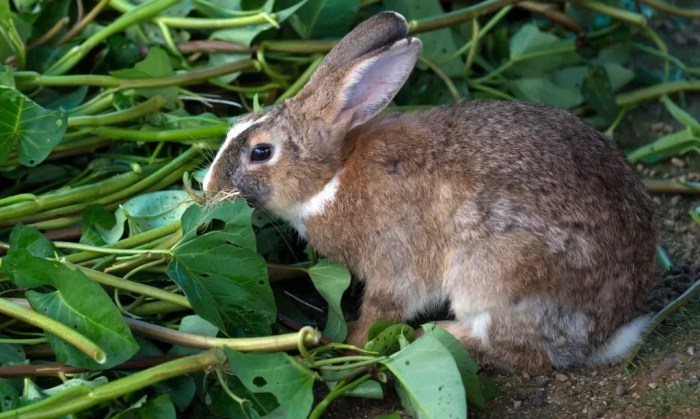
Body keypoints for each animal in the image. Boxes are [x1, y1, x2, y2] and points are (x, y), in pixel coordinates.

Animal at [202, 10, 656, 374]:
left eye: (261, 152)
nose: (208, 187)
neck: (331, 176)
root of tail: (613, 331)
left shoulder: (394, 263)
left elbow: (384, 309)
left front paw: (352, 340)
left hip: (496, 279)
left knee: (524, 354)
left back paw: (436, 333)